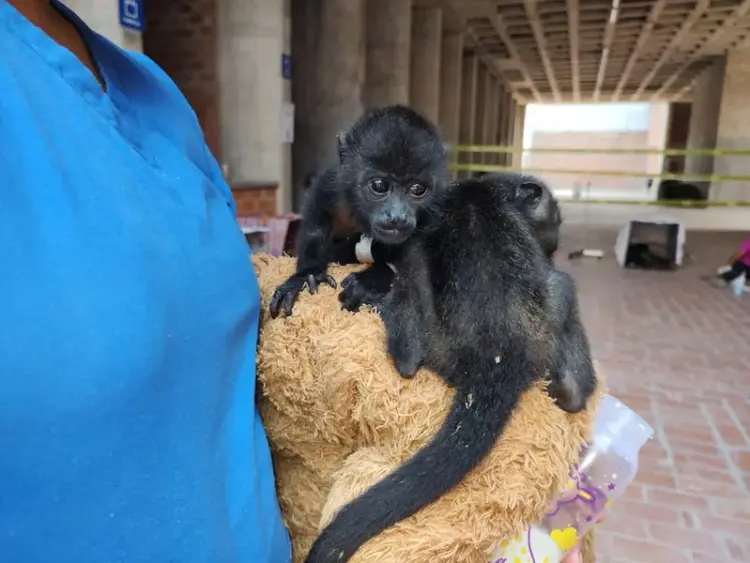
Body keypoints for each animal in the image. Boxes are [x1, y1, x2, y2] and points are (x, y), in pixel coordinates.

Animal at [268, 106, 450, 318]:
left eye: (418, 189)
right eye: (379, 185)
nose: (398, 216)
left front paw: (369, 282)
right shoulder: (332, 184)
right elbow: (315, 220)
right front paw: (305, 276)